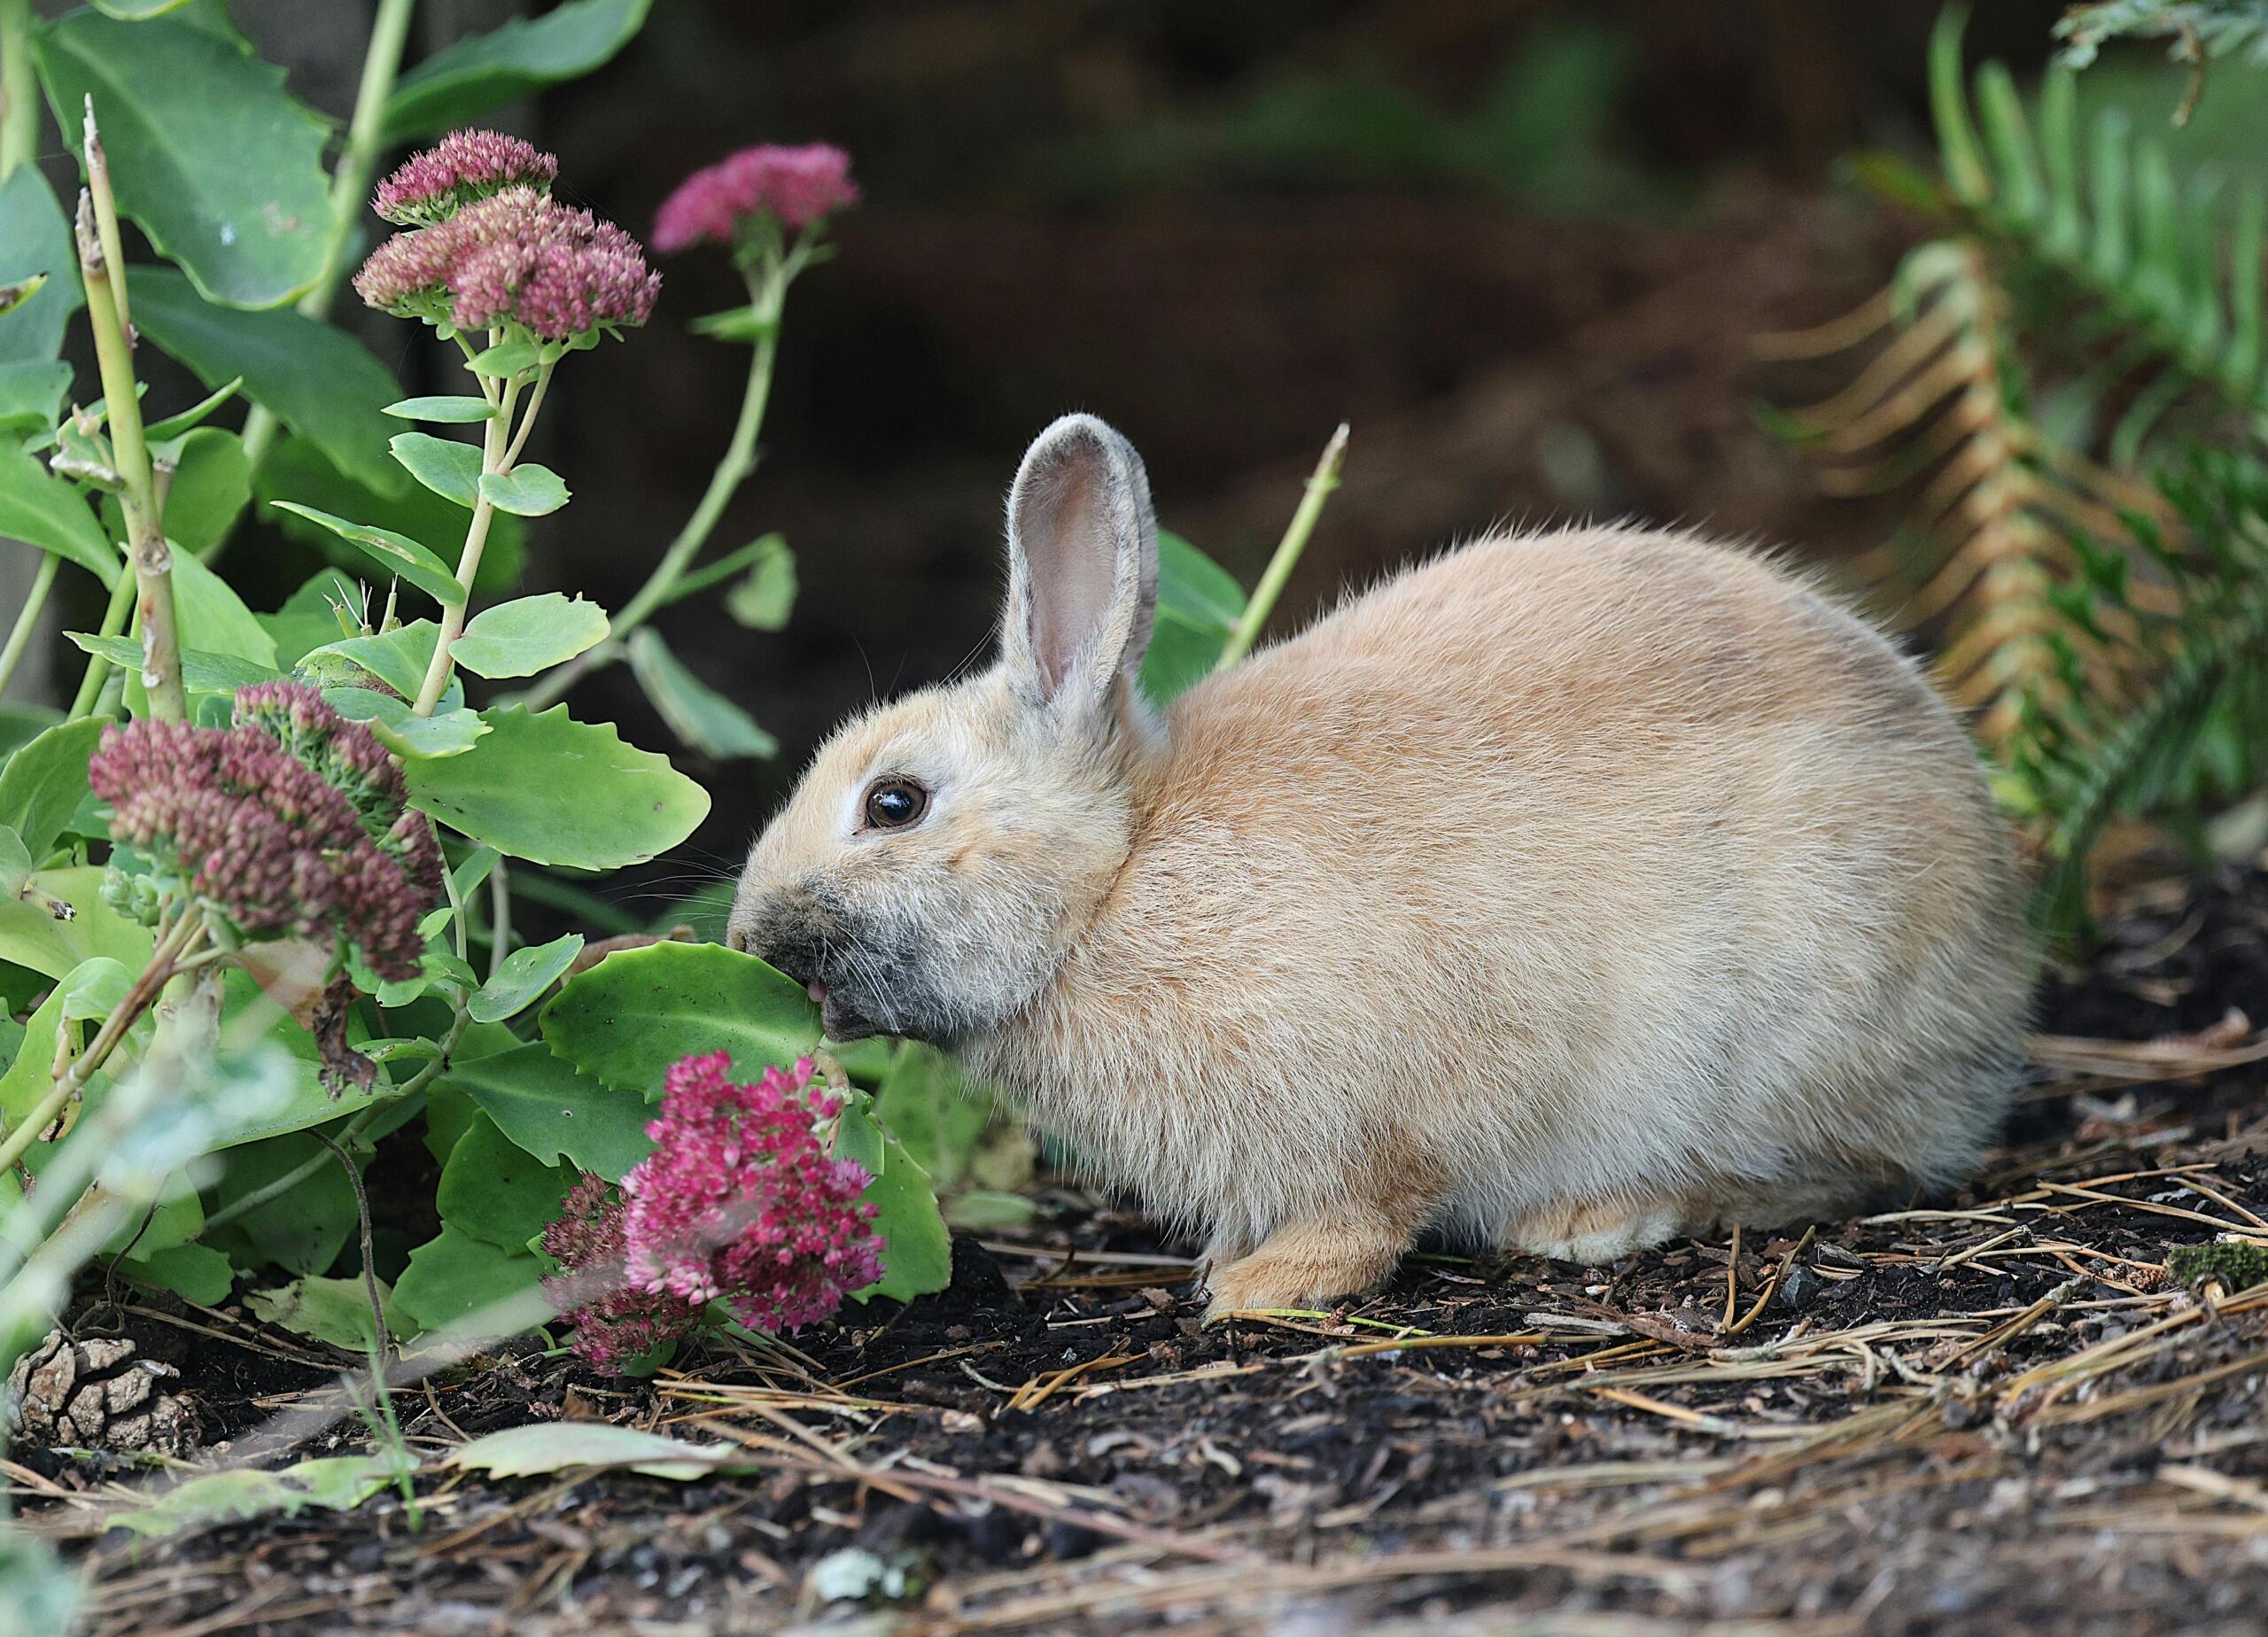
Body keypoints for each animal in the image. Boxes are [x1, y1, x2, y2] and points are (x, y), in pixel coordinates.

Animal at [726, 413, 2037, 1319]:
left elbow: (1374, 1207)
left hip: (1796, 1022)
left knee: (1851, 1171)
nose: (746, 941)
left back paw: (1600, 1218)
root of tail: (1998, 965)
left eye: (894, 804)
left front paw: (1260, 1287)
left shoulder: (1400, 1106)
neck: (1115, 879)